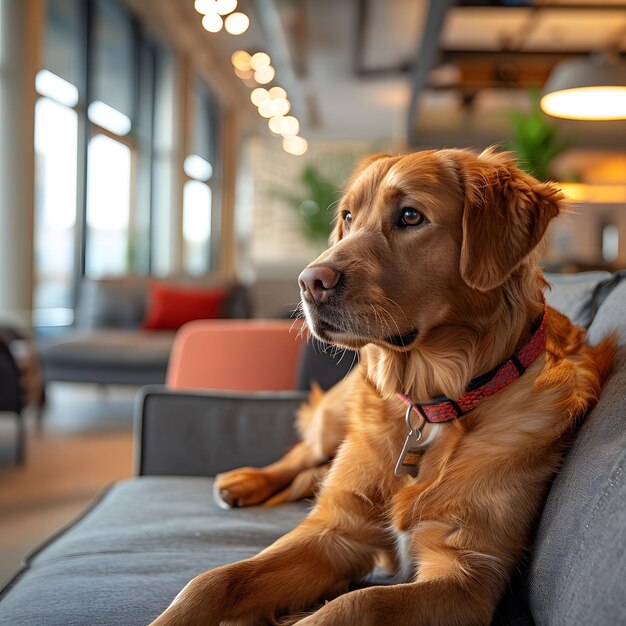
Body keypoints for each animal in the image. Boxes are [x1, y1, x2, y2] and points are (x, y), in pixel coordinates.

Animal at [150, 149, 608, 624]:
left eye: (410, 216)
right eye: (348, 217)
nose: (309, 282)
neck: (433, 404)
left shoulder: (468, 575)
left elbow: (358, 602)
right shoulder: (334, 533)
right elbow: (214, 579)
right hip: (335, 417)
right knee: (301, 452)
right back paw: (242, 481)